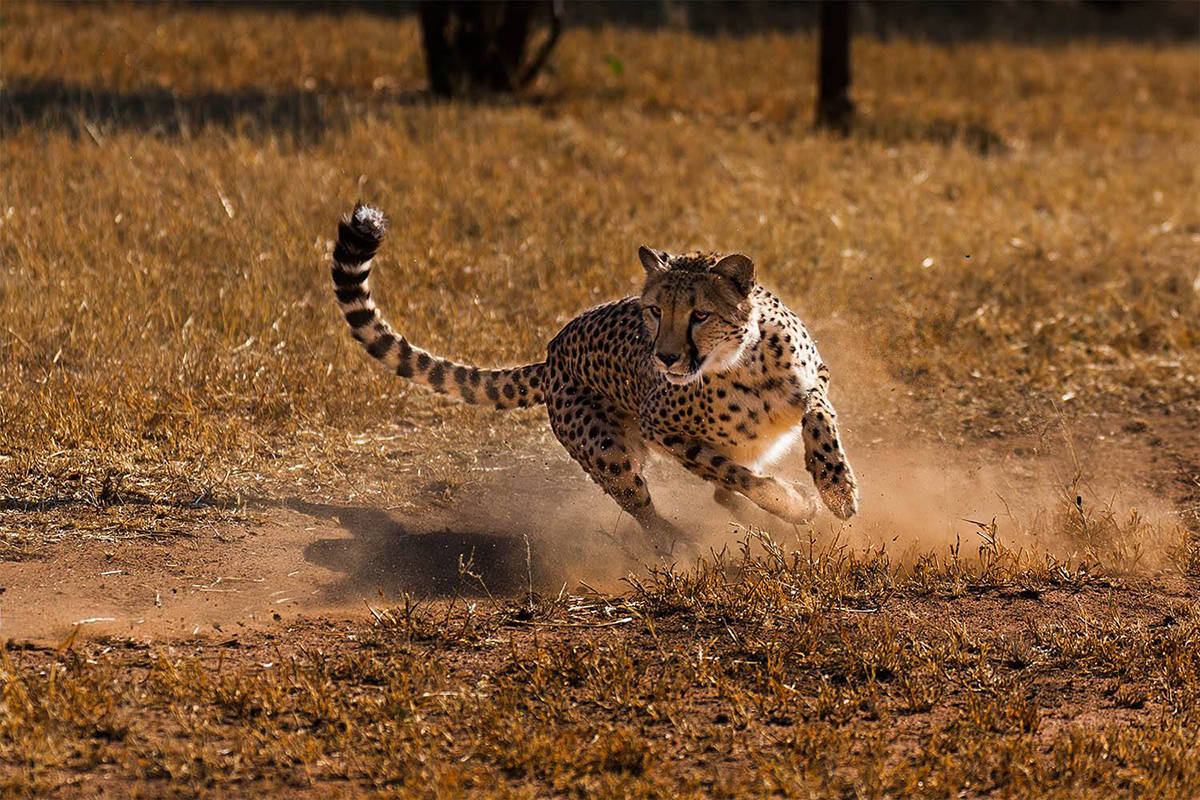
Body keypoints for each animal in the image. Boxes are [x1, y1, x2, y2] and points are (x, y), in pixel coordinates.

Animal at [328, 203, 854, 546]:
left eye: (700, 315)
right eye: (654, 311)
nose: (664, 358)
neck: (739, 362)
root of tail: (552, 353)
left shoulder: (816, 377)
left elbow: (816, 416)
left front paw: (834, 487)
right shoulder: (659, 427)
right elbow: (735, 473)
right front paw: (795, 502)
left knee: (725, 493)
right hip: (606, 451)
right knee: (647, 502)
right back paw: (677, 543)